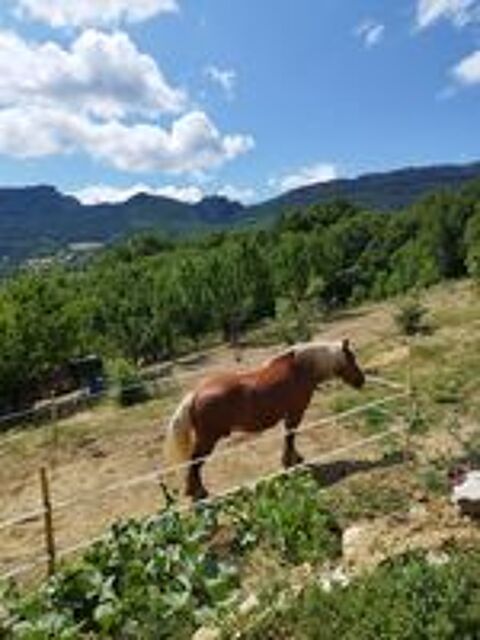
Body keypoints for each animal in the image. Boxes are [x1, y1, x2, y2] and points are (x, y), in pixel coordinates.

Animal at [163, 339, 365, 501]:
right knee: (195, 462)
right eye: (351, 358)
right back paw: (199, 493)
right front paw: (291, 461)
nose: (361, 381)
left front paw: (293, 459)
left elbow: (289, 437)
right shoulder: (295, 414)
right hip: (208, 440)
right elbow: (290, 437)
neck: (301, 369)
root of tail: (195, 394)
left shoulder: (290, 415)